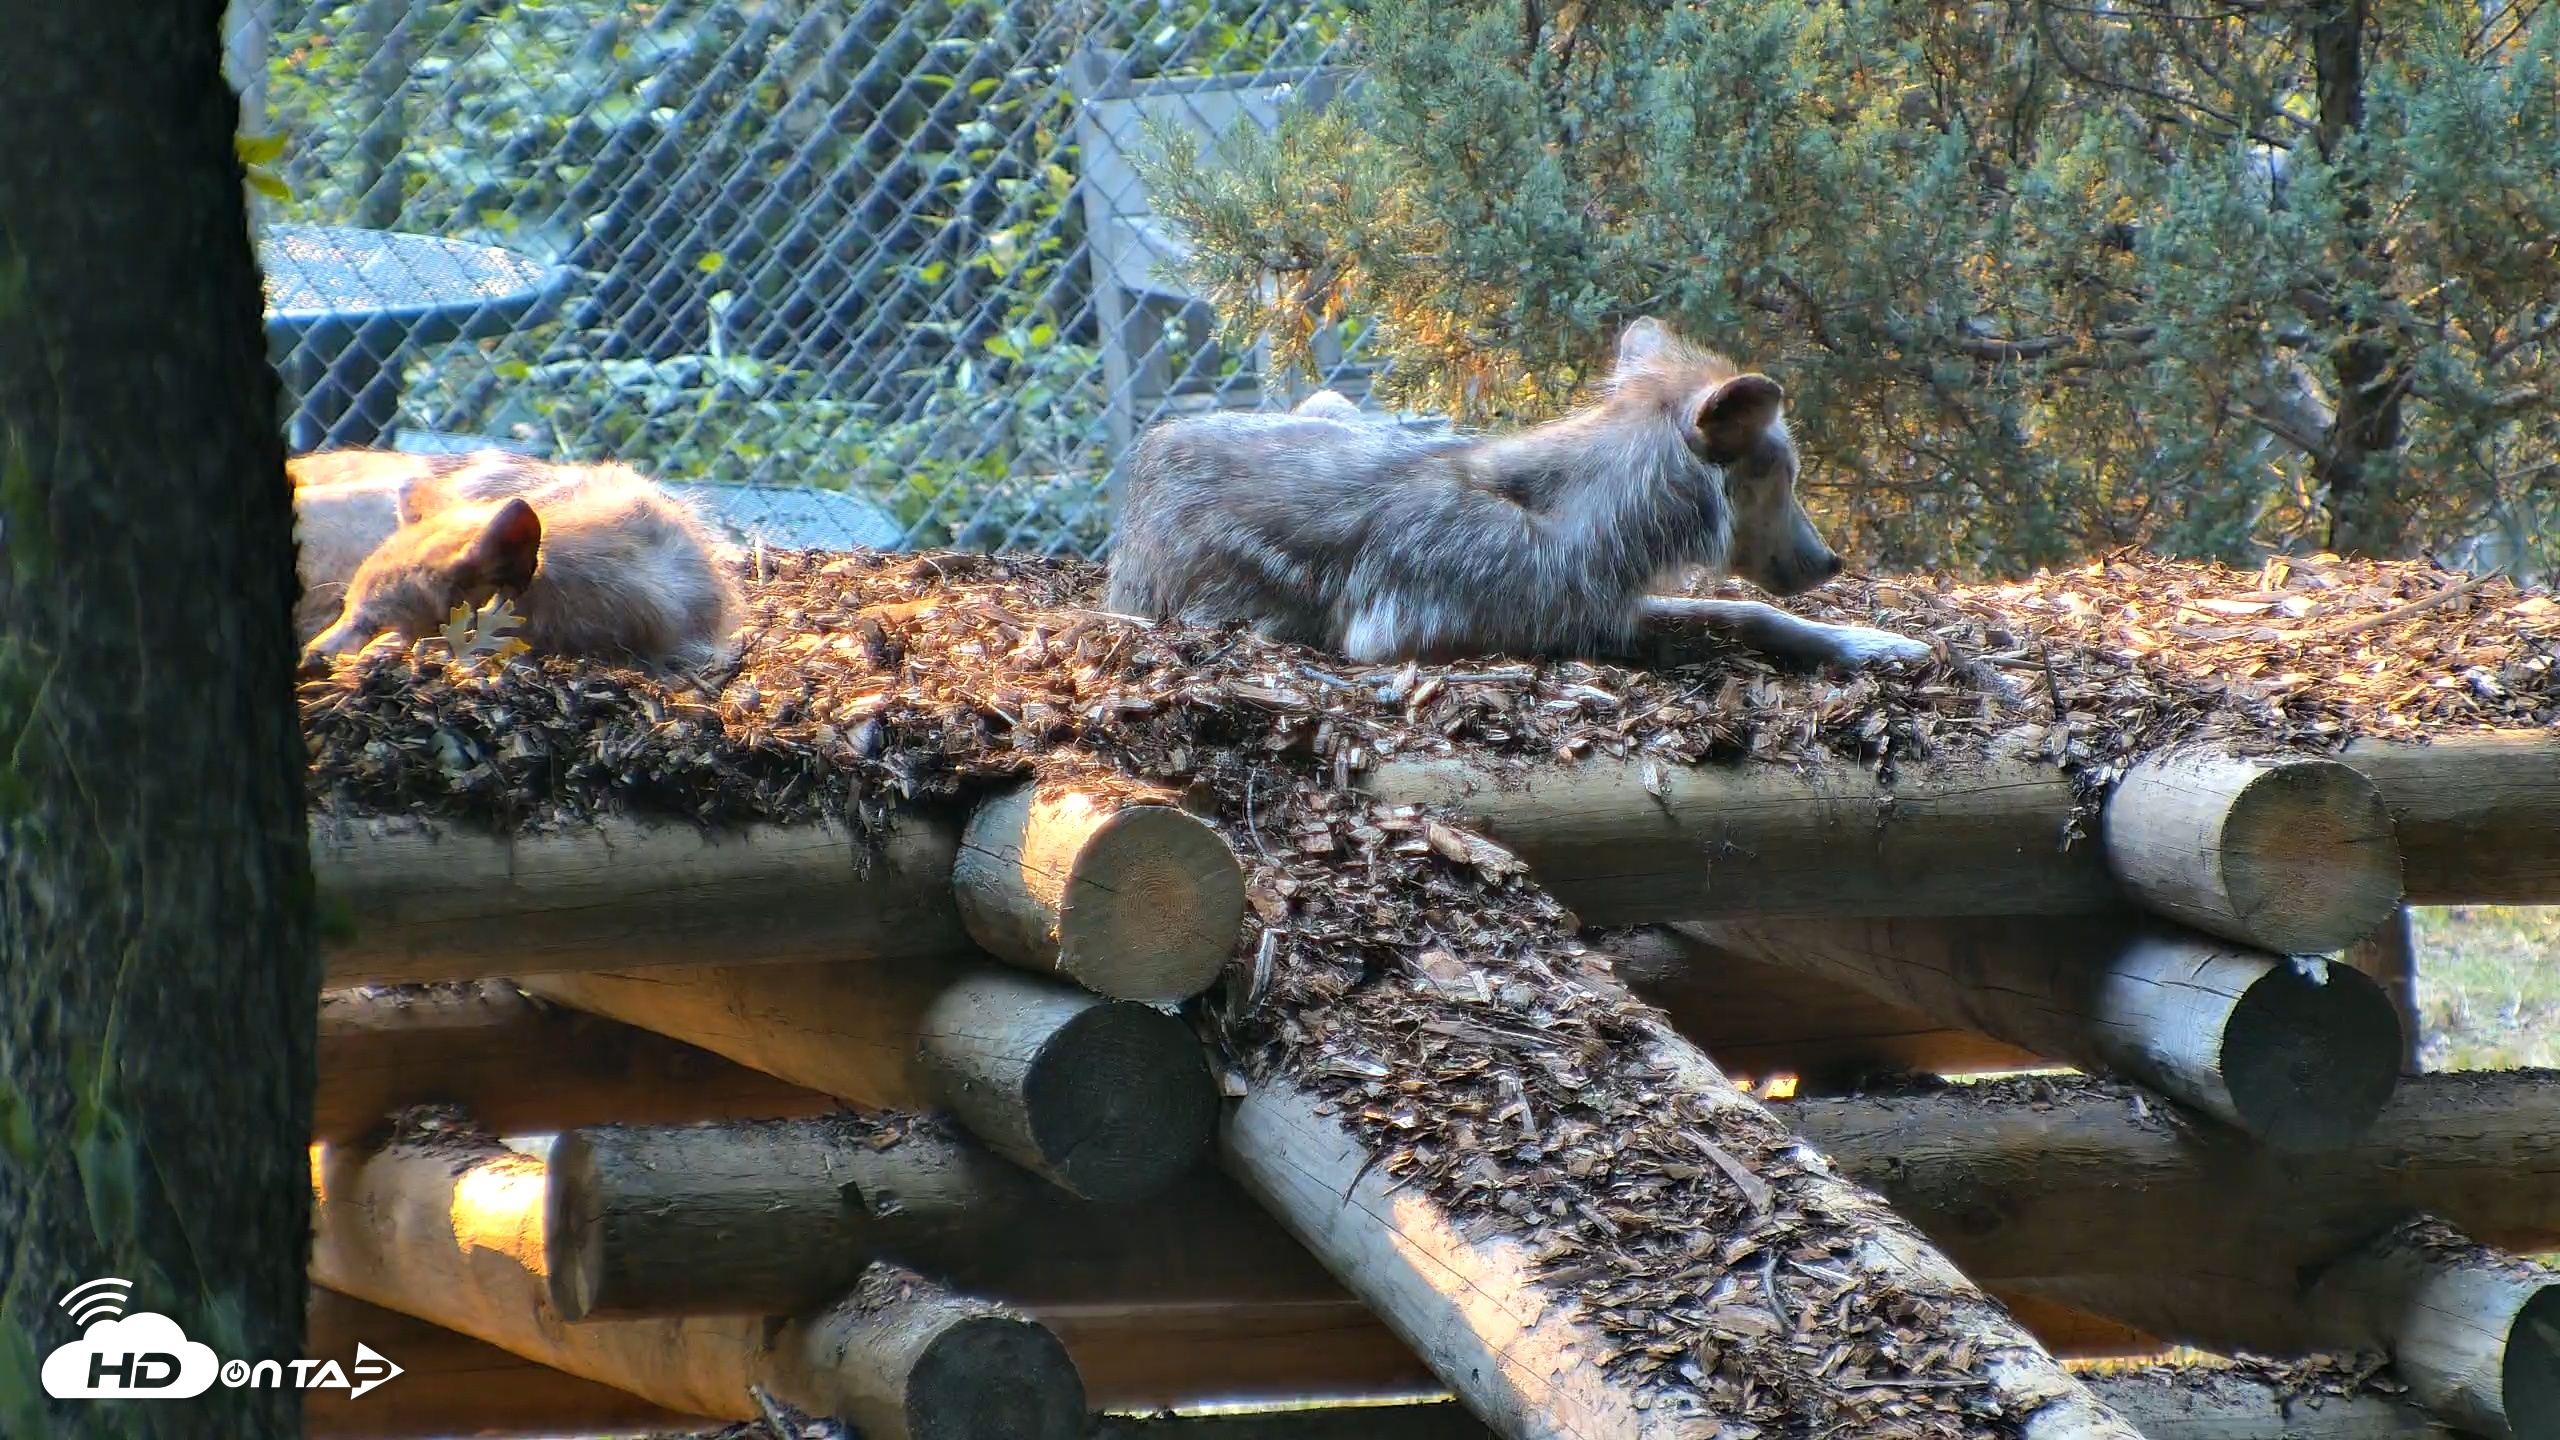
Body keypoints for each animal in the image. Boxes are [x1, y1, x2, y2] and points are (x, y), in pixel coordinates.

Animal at [1106, 319, 1929, 670]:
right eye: (1784, 476)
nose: (1831, 563)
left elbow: (1748, 611)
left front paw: (1875, 642)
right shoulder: (1403, 640)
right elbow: (1712, 619)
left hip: (1333, 403)